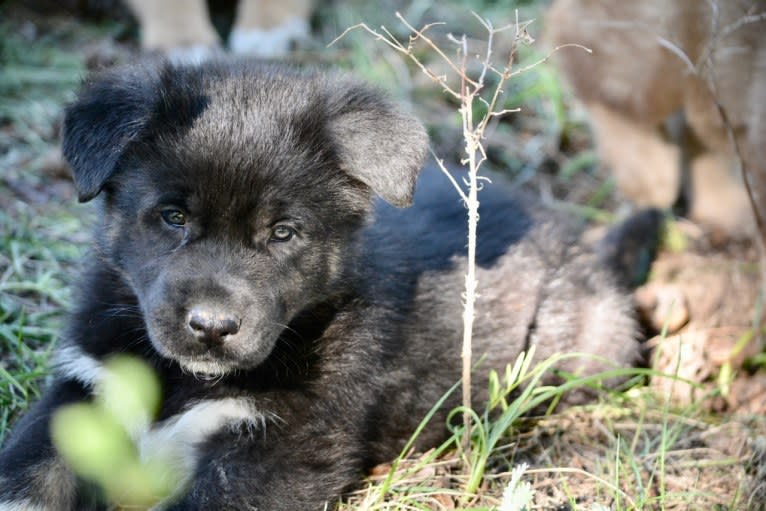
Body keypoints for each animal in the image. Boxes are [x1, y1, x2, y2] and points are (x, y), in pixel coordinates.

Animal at [0, 60, 656, 511]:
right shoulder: (82, 392)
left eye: (284, 232)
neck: (186, 381)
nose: (211, 328)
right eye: (172, 217)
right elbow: (26, 476)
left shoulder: (283, 446)